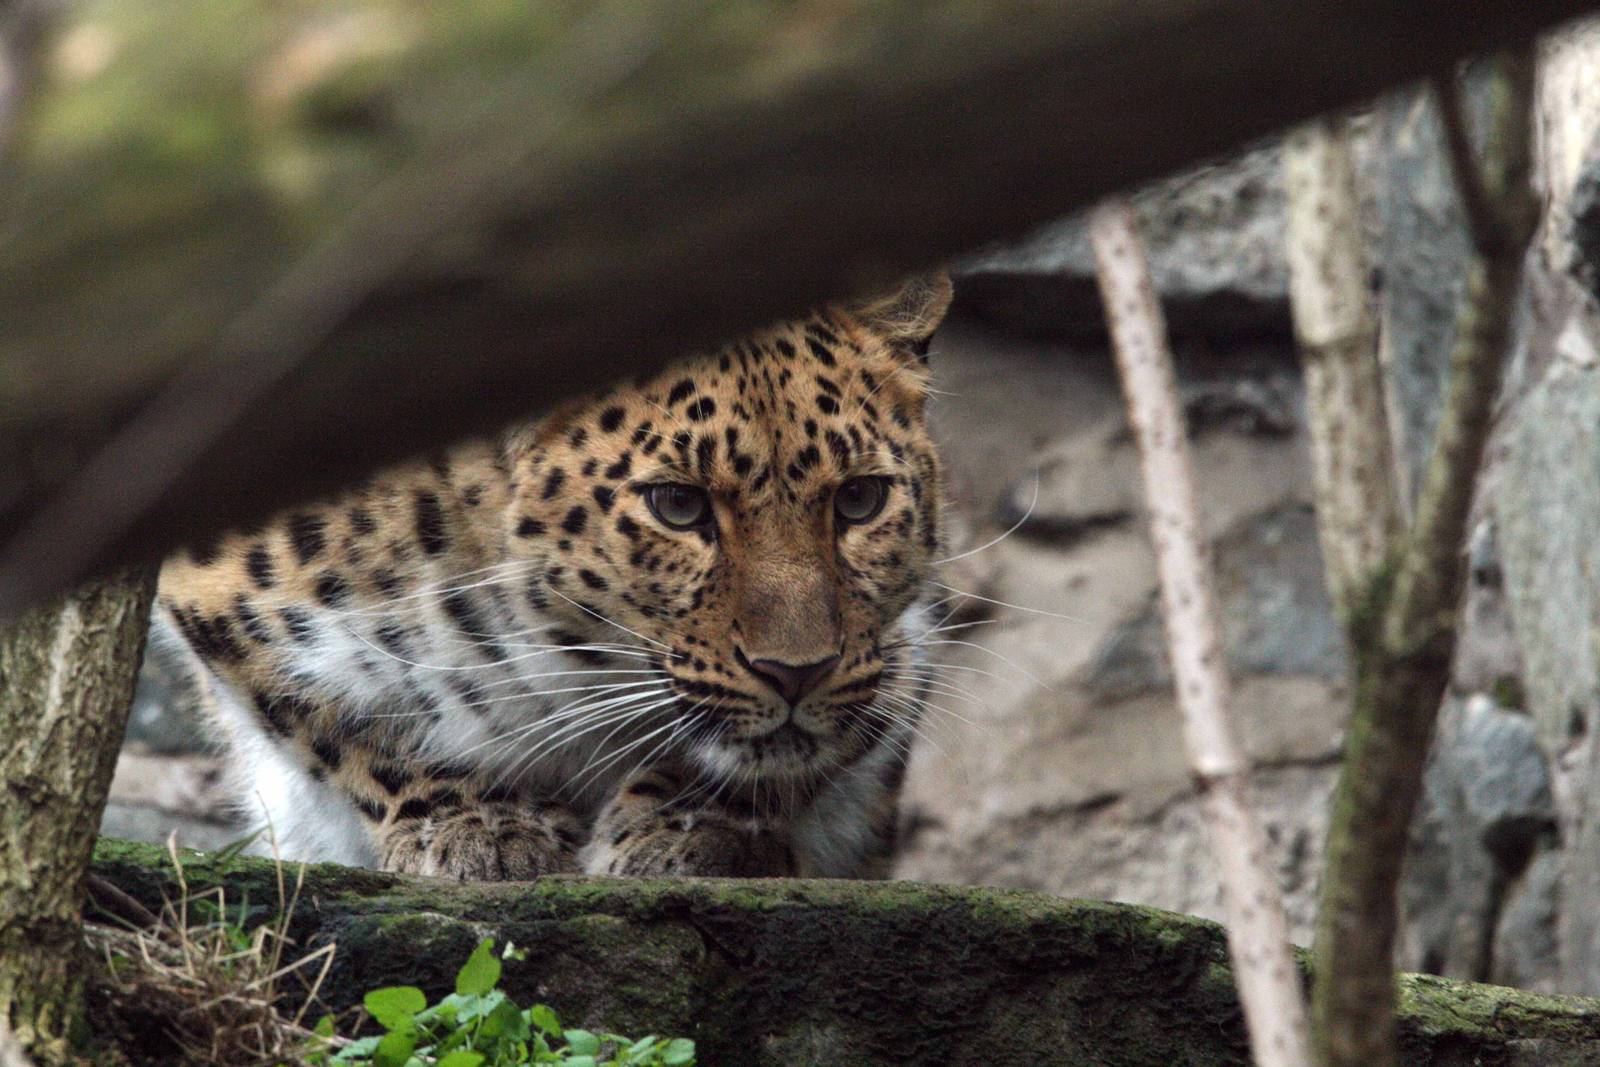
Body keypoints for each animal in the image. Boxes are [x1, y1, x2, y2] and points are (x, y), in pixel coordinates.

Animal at [156, 273, 953, 881]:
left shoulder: (899, 645)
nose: (798, 673)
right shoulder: (218, 580)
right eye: (678, 505)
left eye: (860, 499)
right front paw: (483, 826)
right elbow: (348, 727)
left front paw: (690, 828)